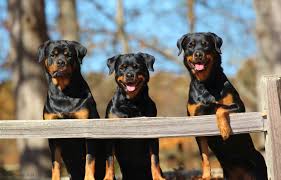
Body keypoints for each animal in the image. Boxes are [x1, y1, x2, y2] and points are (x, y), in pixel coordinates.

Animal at [36, 40, 103, 180]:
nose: (61, 62)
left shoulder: (87, 128)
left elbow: (89, 158)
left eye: (69, 55)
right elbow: (55, 162)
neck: (63, 93)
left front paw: (89, 178)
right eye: (53, 55)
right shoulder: (53, 133)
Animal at [103, 52, 164, 180]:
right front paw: (108, 177)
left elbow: (154, 159)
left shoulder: (152, 135)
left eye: (137, 67)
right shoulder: (110, 134)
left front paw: (158, 177)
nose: (130, 75)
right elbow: (109, 160)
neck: (131, 102)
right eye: (122, 68)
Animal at [176, 32, 266, 180]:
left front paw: (224, 130)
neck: (206, 83)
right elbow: (204, 156)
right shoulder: (196, 122)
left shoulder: (239, 107)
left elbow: (220, 107)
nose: (198, 54)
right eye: (190, 45)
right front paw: (206, 176)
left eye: (206, 44)